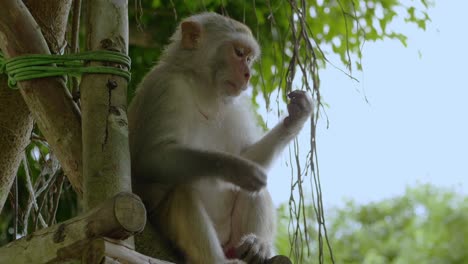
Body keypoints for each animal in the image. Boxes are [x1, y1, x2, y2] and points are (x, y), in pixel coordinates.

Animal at [127, 12, 310, 264]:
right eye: (239, 53)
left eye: (249, 58)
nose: (247, 74)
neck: (206, 91)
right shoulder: (165, 88)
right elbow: (150, 158)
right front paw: (235, 168)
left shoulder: (238, 107)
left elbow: (251, 157)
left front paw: (296, 117)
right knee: (182, 192)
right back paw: (218, 259)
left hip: (232, 240)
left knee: (255, 190)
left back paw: (257, 246)